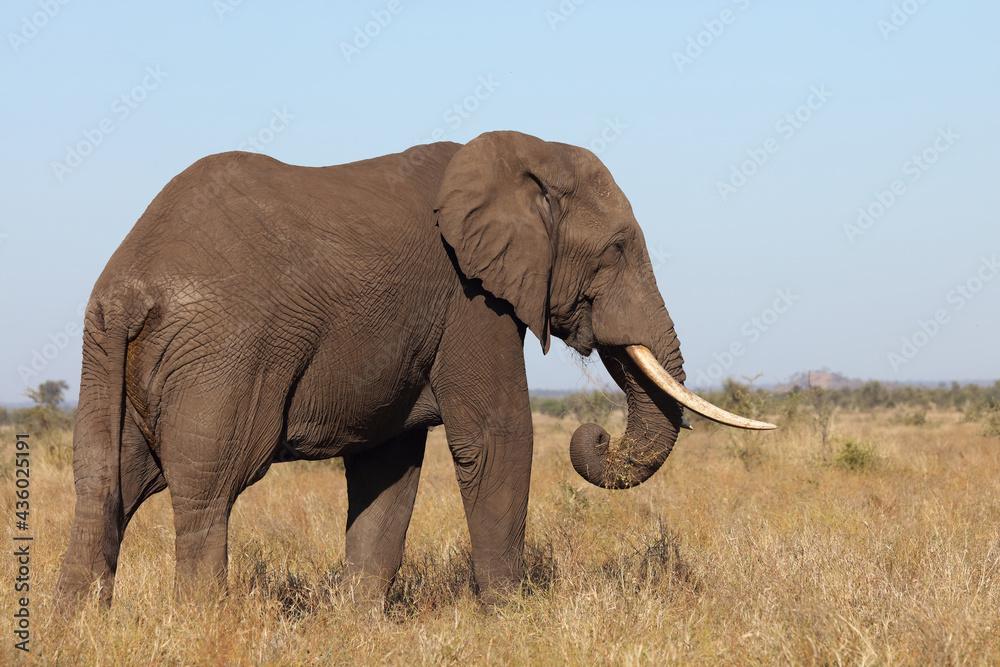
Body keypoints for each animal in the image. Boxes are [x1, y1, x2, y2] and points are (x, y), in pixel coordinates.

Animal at [56, 130, 773, 609]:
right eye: (619, 248)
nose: (591, 434)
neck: (521, 155)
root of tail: (129, 286)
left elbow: (389, 462)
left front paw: (357, 623)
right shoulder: (470, 300)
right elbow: (497, 436)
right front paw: (511, 618)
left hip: (107, 353)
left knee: (106, 479)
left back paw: (78, 627)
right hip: (224, 353)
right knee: (209, 482)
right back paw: (203, 623)